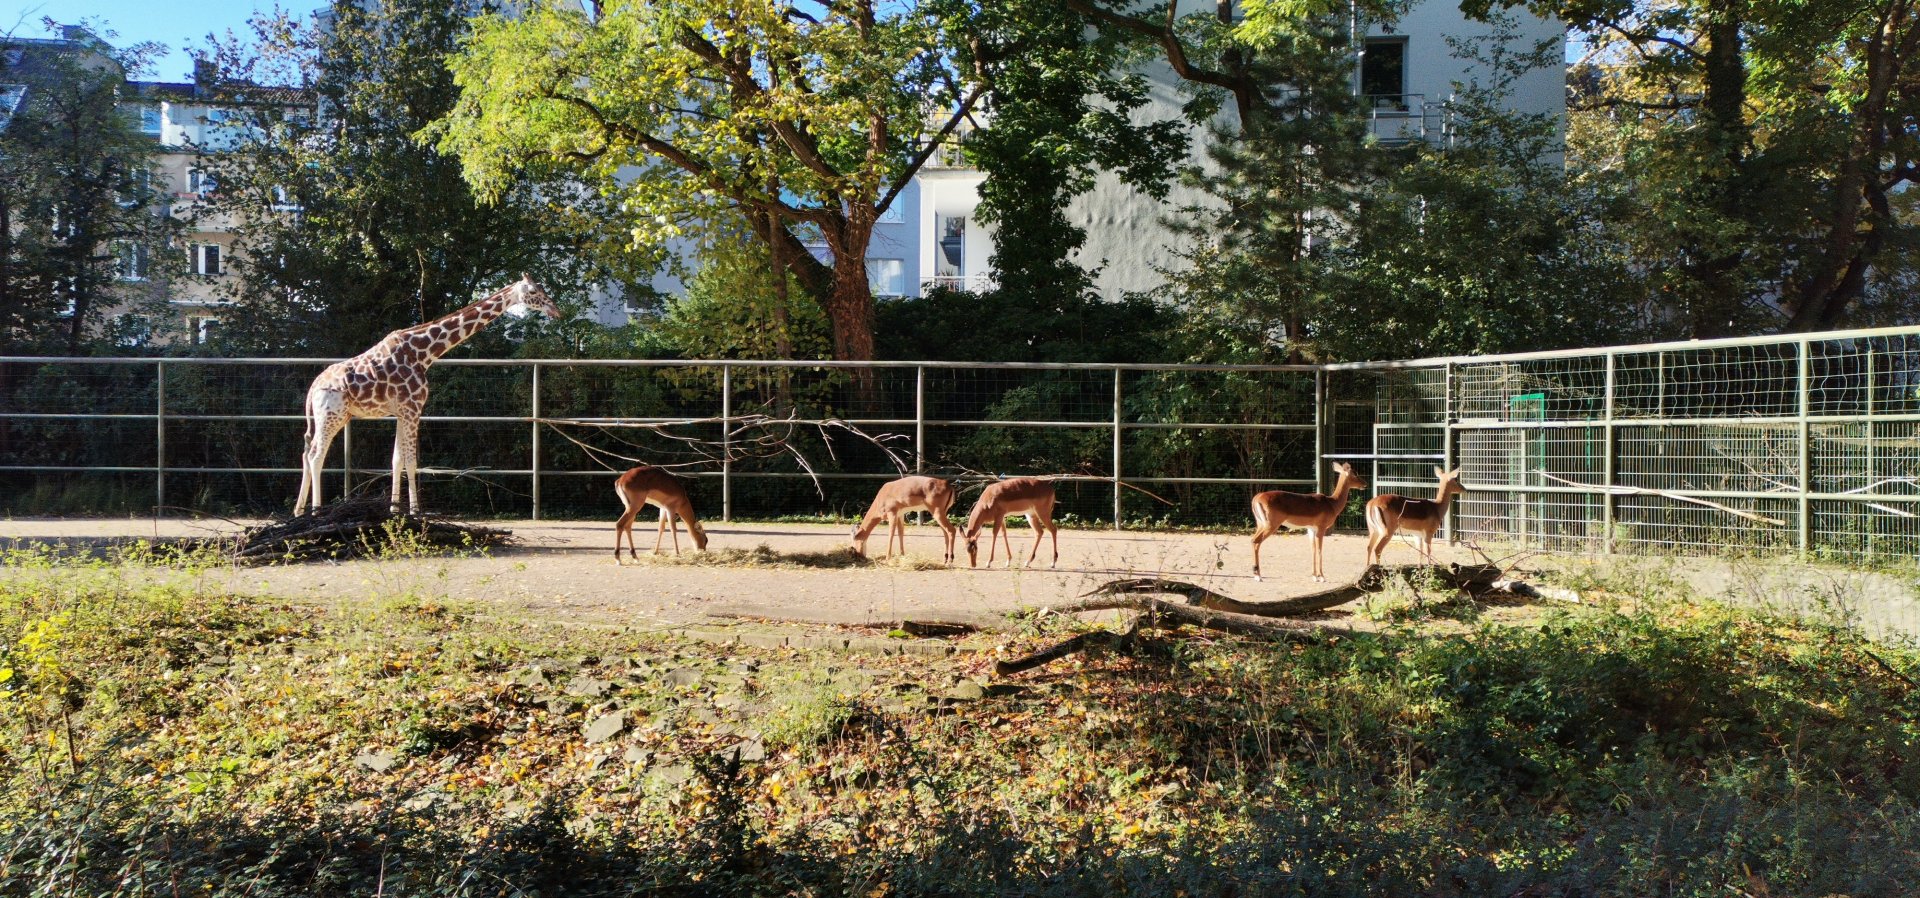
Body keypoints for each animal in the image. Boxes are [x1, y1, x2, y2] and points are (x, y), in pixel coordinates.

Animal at [292, 274, 563, 516]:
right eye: (533, 291)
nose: (556, 310)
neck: (423, 353)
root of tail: (313, 388)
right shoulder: (413, 409)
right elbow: (412, 461)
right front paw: (415, 512)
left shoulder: (402, 412)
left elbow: (396, 460)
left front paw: (394, 511)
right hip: (332, 415)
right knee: (316, 456)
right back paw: (315, 512)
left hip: (331, 417)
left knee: (306, 452)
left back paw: (298, 511)